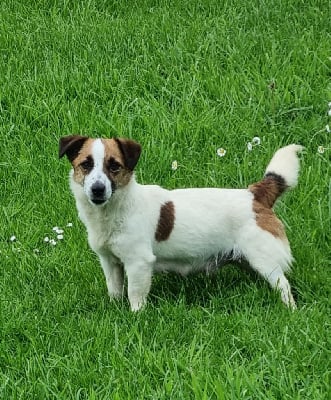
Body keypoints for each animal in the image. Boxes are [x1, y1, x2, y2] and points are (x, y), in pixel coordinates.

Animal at [59, 138, 304, 312]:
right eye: (86, 165)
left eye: (114, 166)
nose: (97, 189)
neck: (117, 210)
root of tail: (255, 195)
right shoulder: (110, 262)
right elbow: (115, 290)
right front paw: (115, 309)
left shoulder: (139, 263)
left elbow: (135, 295)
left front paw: (135, 317)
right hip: (248, 259)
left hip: (263, 258)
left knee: (283, 284)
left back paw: (289, 309)